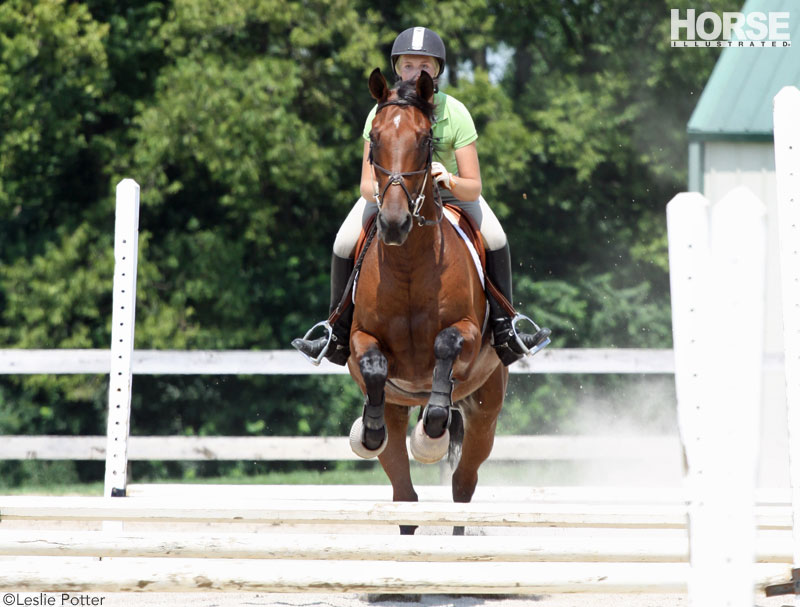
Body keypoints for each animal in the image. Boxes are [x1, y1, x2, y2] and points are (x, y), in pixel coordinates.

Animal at [346, 69, 510, 536]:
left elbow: (445, 345)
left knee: (463, 485)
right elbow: (373, 364)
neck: (408, 266)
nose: (394, 223)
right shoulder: (360, 338)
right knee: (405, 496)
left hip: (485, 409)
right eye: (374, 138)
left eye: (424, 141)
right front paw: (369, 431)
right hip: (400, 407)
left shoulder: (468, 334)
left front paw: (431, 429)